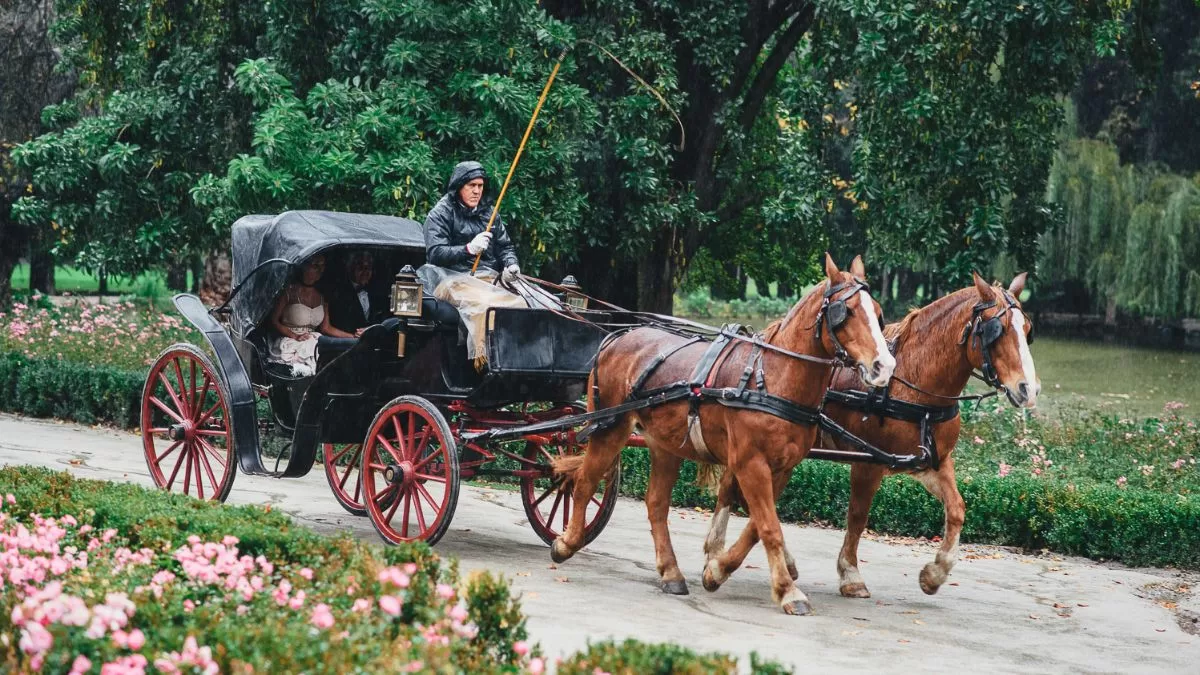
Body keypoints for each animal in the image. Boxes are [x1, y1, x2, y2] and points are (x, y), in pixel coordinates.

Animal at [549, 254, 892, 612]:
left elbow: (758, 526)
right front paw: (787, 590)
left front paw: (717, 569)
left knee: (655, 502)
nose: (884, 367)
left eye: (878, 313)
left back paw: (670, 572)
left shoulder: (782, 468)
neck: (771, 377)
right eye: (846, 311)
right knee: (584, 481)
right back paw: (567, 542)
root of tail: (617, 337)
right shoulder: (750, 463)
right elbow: (769, 526)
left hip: (664, 442)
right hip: (610, 428)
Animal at [700, 273, 1041, 598]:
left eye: (1027, 330)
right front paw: (851, 574)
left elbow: (956, 508)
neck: (912, 383)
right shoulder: (868, 463)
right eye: (996, 330)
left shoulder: (931, 461)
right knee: (738, 493)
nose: (1028, 389)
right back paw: (725, 553)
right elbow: (858, 516)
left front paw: (935, 573)